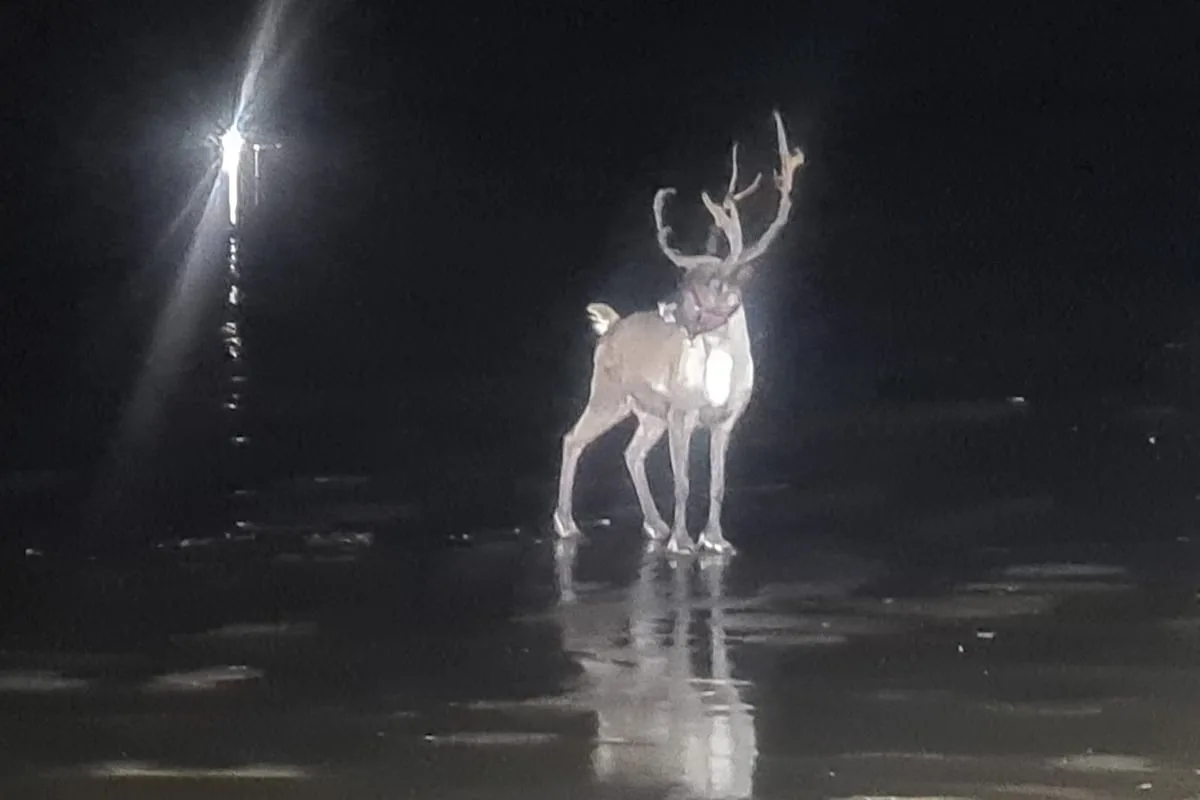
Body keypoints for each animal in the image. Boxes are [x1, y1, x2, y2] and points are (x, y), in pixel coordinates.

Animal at [553, 110, 805, 555]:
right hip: (609, 393)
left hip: (646, 412)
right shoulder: (681, 414)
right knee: (573, 438)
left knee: (631, 452)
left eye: (711, 285)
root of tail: (610, 325)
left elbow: (718, 483)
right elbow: (684, 482)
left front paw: (716, 539)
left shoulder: (725, 420)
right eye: (683, 280)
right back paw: (567, 524)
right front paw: (683, 541)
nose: (667, 306)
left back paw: (654, 525)